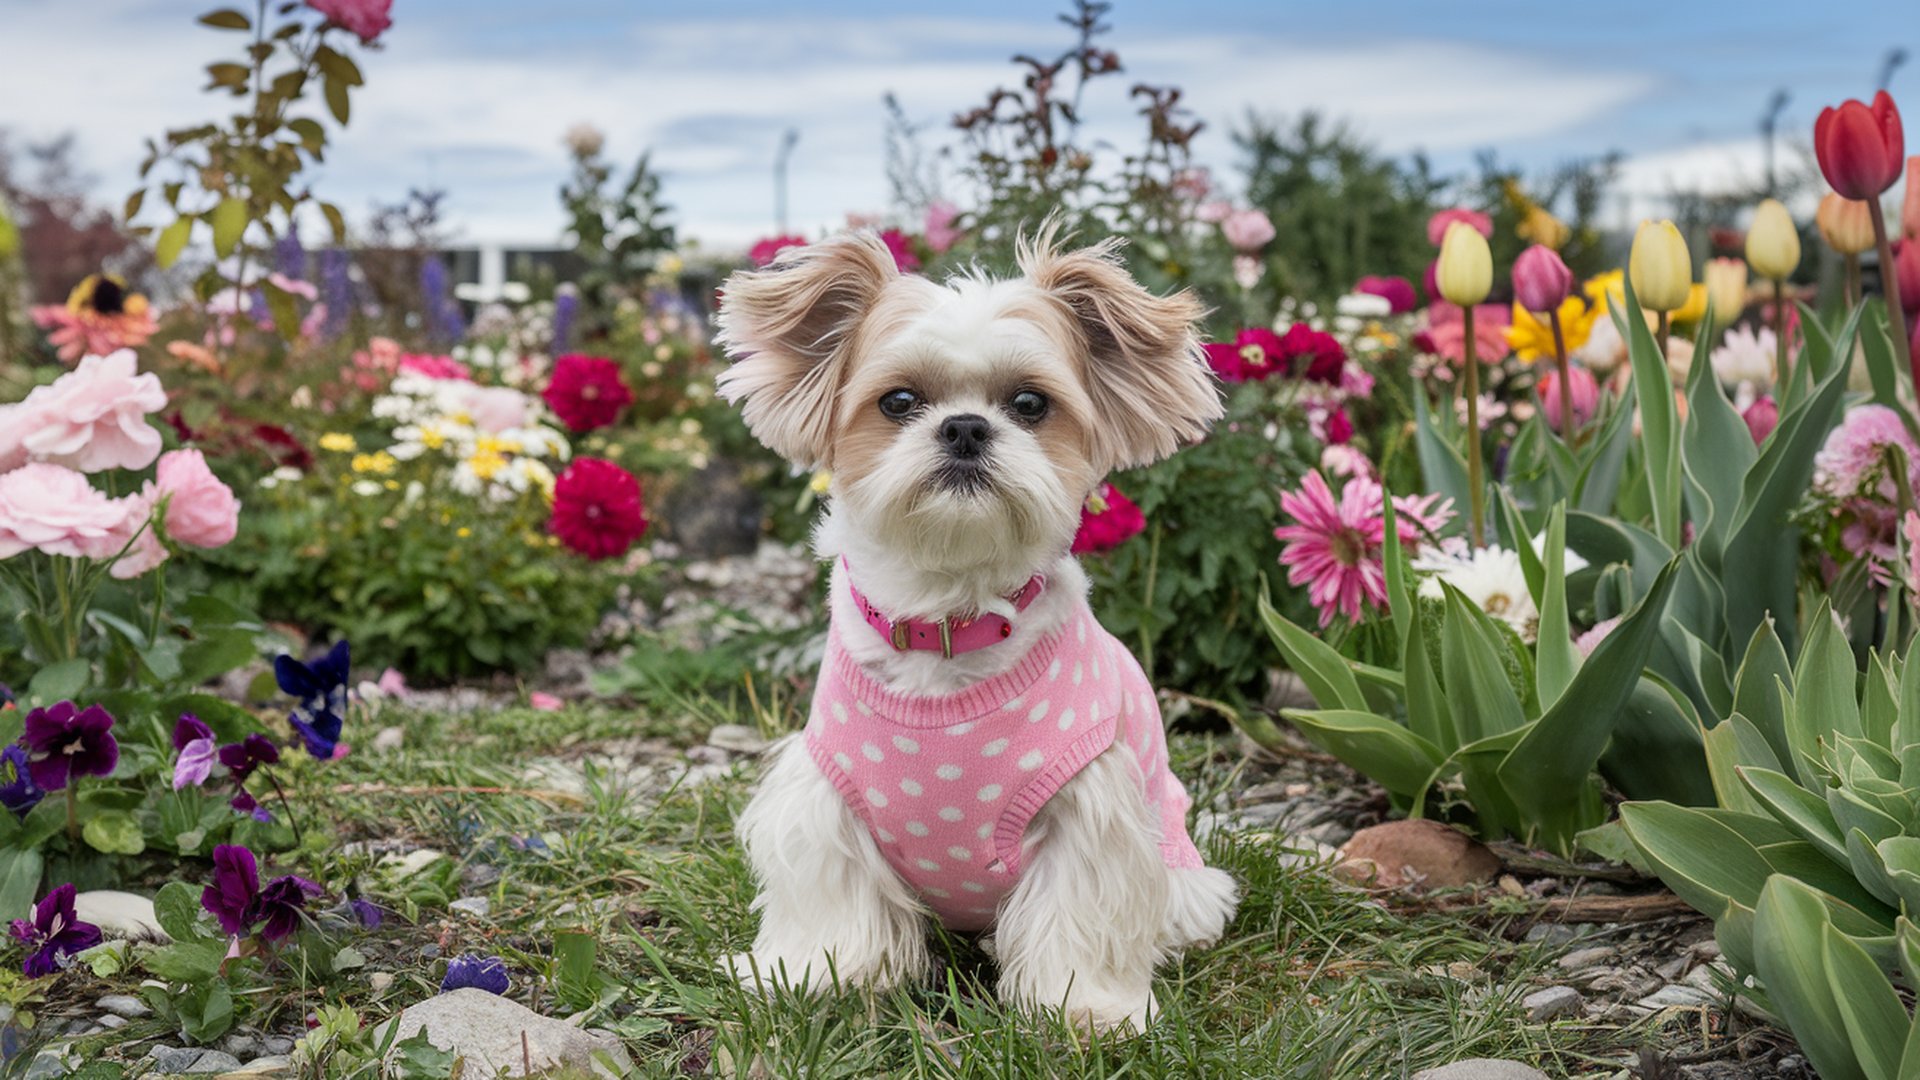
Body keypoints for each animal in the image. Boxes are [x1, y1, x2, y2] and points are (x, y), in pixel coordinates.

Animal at [714, 224, 1236, 1022]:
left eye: (1029, 402)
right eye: (899, 401)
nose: (964, 426)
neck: (949, 625)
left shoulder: (1087, 806)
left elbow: (1077, 909)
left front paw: (1084, 1007)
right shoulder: (824, 798)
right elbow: (831, 899)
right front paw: (812, 975)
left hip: (1180, 870)